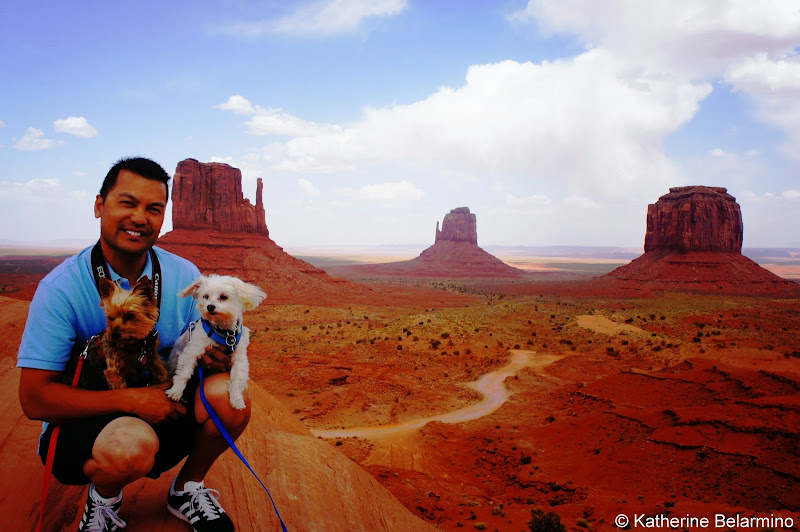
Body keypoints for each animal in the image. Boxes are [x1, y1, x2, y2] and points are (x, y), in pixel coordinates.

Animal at [165, 276, 266, 410]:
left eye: (223, 297)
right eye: (205, 296)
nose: (210, 307)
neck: (224, 333)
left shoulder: (239, 359)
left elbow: (237, 380)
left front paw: (237, 399)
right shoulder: (192, 351)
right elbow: (183, 373)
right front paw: (175, 391)